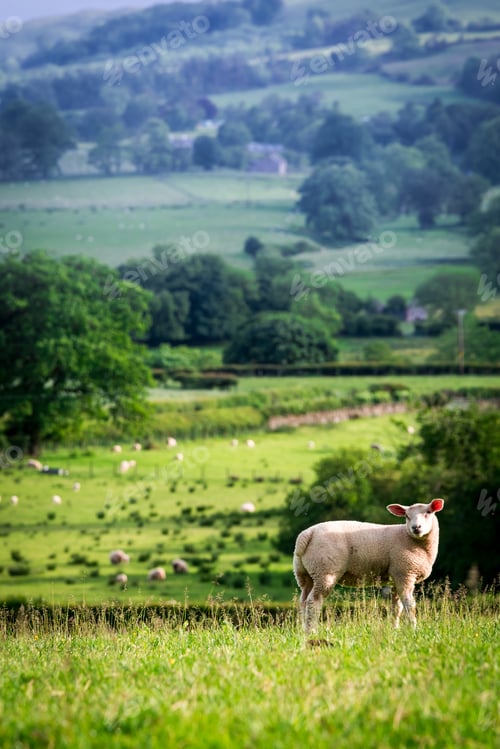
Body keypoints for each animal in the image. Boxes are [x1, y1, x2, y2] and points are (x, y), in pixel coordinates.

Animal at [293, 498, 445, 634]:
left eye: (428, 512)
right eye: (407, 516)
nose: (416, 528)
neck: (409, 538)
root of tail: (307, 534)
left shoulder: (397, 576)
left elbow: (396, 607)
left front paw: (395, 629)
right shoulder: (405, 573)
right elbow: (410, 605)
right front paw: (414, 629)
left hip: (305, 574)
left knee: (303, 601)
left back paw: (304, 630)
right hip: (325, 571)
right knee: (314, 601)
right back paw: (312, 631)